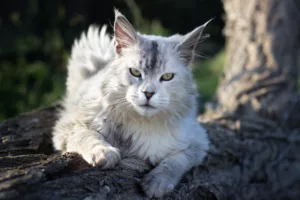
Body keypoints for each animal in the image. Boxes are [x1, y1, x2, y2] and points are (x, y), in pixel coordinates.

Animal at [51, 8, 210, 198]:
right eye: (135, 72)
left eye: (167, 77)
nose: (148, 93)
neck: (141, 122)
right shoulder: (68, 127)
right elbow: (89, 136)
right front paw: (105, 154)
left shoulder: (198, 143)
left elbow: (174, 162)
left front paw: (157, 184)